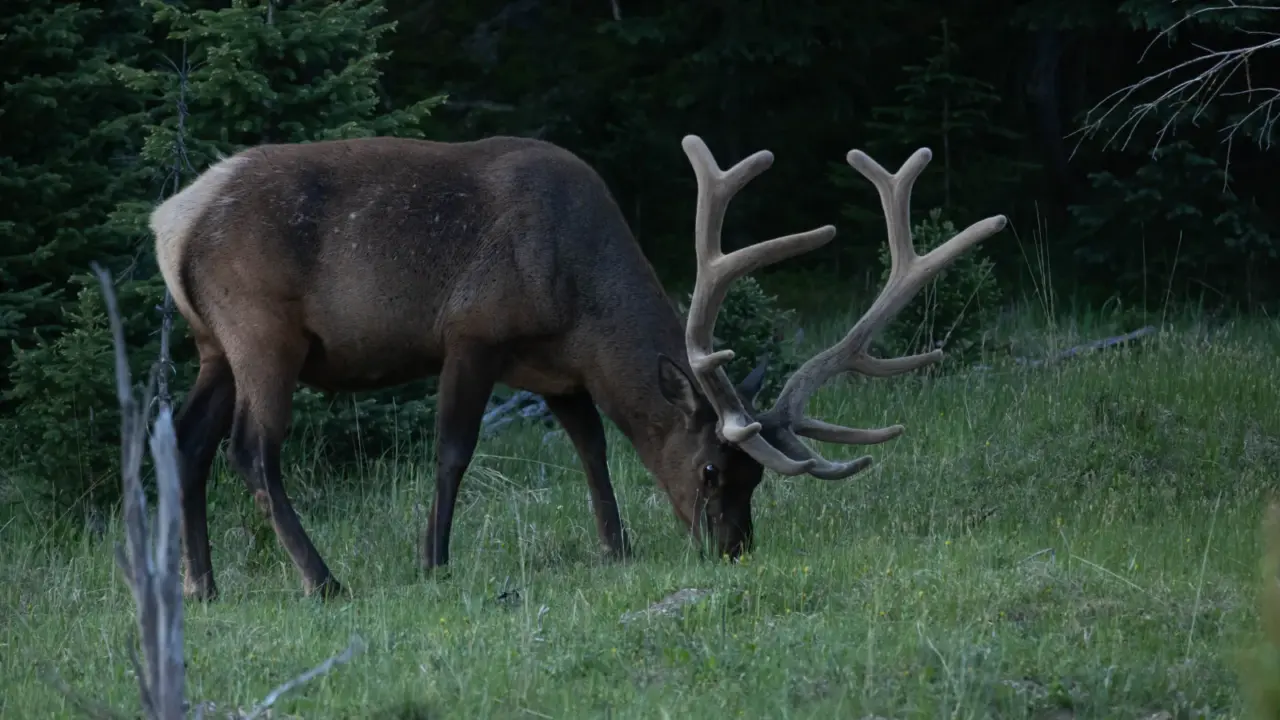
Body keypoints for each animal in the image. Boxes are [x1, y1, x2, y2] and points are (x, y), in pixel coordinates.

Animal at [150, 131, 1006, 600]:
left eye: (756, 477)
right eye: (710, 471)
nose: (733, 548)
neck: (577, 300)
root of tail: (170, 220)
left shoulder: (556, 370)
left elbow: (593, 448)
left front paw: (615, 546)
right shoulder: (473, 333)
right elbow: (453, 452)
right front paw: (434, 560)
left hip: (211, 345)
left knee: (186, 441)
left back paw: (202, 584)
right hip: (263, 332)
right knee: (251, 450)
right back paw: (321, 580)